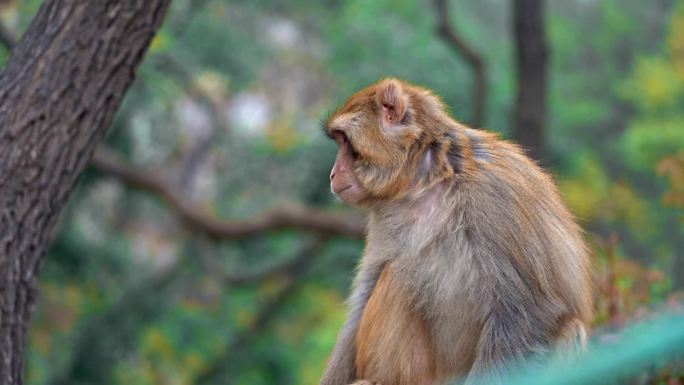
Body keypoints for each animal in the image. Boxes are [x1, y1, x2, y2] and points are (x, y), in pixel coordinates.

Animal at [320, 78, 592, 384]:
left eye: (345, 141)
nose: (333, 173)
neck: (426, 179)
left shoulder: (494, 196)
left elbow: (525, 311)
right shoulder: (385, 215)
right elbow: (363, 296)